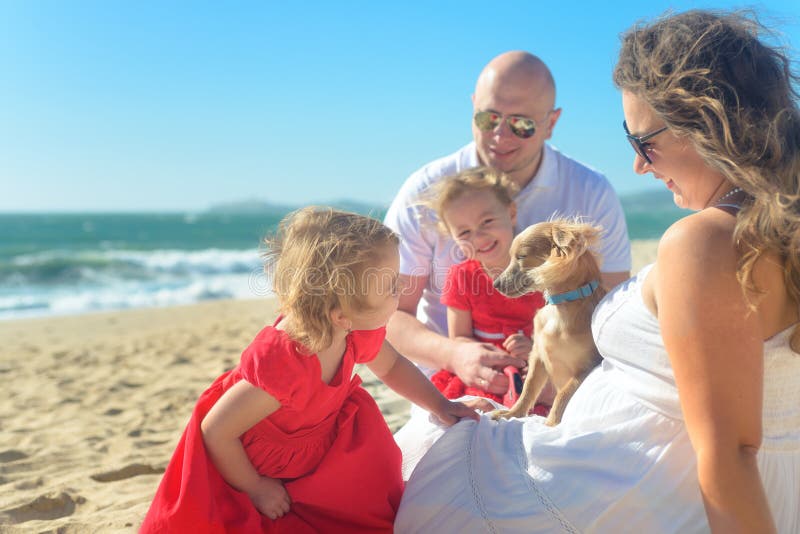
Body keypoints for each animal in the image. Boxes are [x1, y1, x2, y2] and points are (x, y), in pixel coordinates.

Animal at [490, 219, 604, 428]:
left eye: (521, 256)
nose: (496, 284)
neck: (560, 308)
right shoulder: (537, 356)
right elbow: (528, 389)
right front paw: (512, 414)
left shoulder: (585, 368)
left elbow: (562, 396)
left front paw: (550, 425)